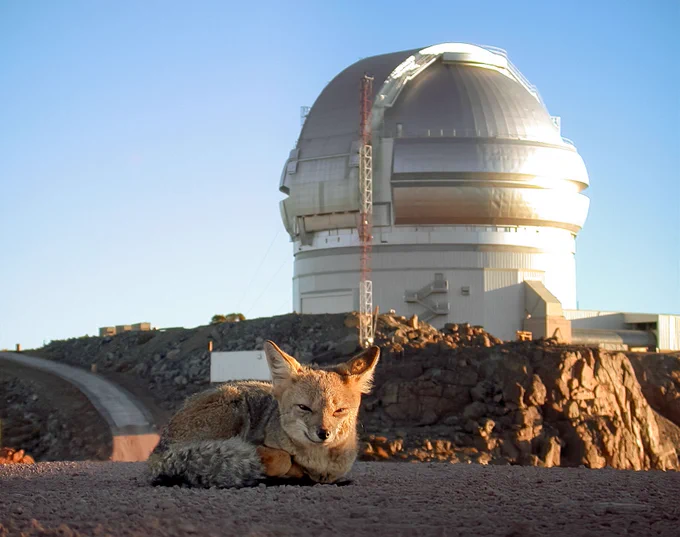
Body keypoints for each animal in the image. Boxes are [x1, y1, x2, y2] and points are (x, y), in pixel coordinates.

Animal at [147, 340, 380, 488]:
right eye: (304, 407)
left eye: (339, 410)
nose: (323, 434)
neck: (318, 461)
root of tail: (157, 451)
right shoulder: (258, 444)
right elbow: (283, 459)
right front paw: (292, 470)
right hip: (233, 404)